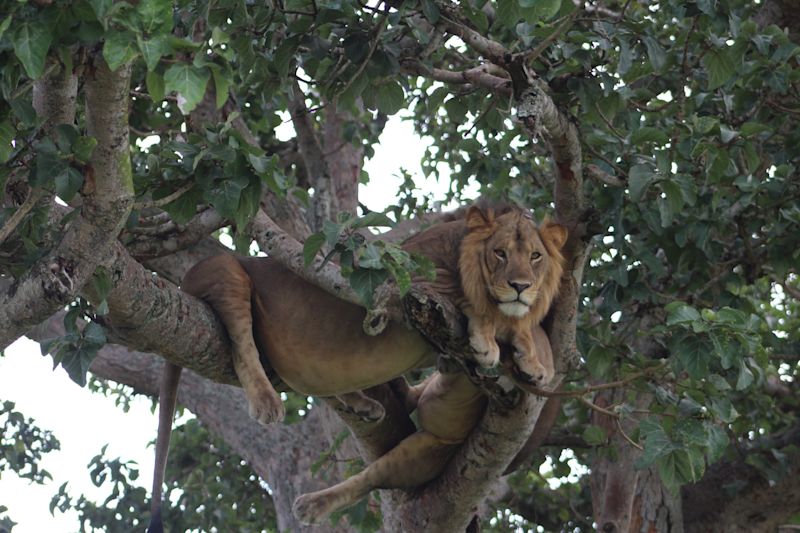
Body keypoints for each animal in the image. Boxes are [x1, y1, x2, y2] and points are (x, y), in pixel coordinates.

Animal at [147, 204, 564, 528]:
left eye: (536, 256)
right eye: (500, 253)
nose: (521, 285)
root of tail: (183, 281)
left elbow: (525, 328)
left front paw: (533, 358)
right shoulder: (412, 283)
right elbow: (480, 304)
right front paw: (495, 340)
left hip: (423, 451)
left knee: (371, 470)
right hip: (227, 269)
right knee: (242, 343)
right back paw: (267, 402)